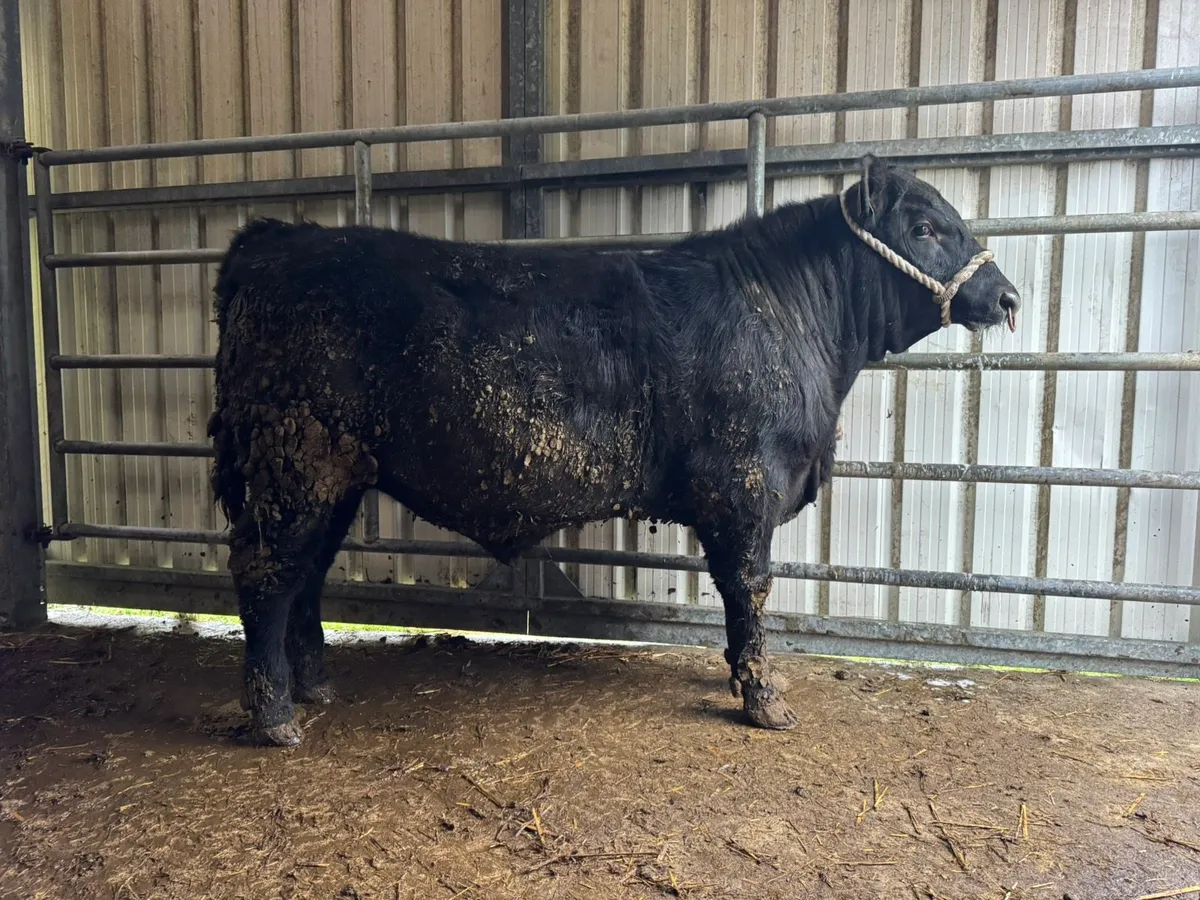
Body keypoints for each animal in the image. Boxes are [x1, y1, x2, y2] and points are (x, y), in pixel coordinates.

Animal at [209, 154, 1020, 746]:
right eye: (924, 226)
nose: (1008, 297)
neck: (788, 315)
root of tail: (280, 238)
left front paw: (740, 678)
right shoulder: (746, 485)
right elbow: (750, 590)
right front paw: (763, 699)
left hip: (334, 474)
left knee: (307, 575)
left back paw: (315, 685)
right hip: (298, 463)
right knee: (267, 575)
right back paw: (275, 717)